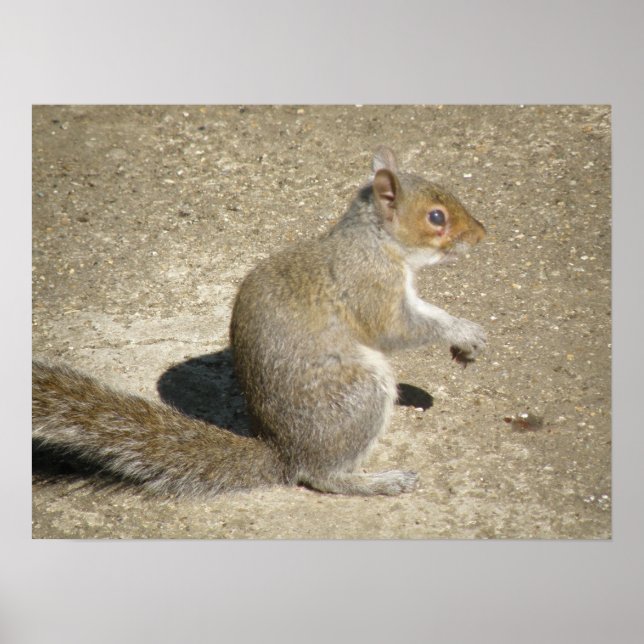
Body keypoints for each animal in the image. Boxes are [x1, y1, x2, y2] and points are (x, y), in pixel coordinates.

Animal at [32, 146, 486, 497]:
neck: (375, 241)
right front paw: (463, 331)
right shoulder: (369, 287)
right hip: (359, 392)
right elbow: (399, 328)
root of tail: (284, 452)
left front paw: (464, 342)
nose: (482, 235)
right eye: (436, 217)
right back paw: (377, 482)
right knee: (321, 476)